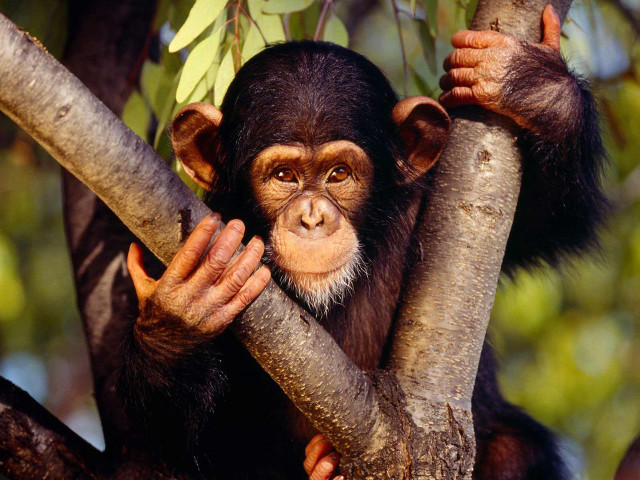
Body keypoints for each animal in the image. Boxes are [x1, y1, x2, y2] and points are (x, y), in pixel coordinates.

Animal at [119, 5, 607, 479]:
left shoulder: (433, 202)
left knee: (515, 449)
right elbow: (172, 441)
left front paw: (532, 86)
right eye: (283, 176)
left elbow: (549, 217)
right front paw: (183, 313)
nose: (312, 217)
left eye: (339, 174)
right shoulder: (181, 230)